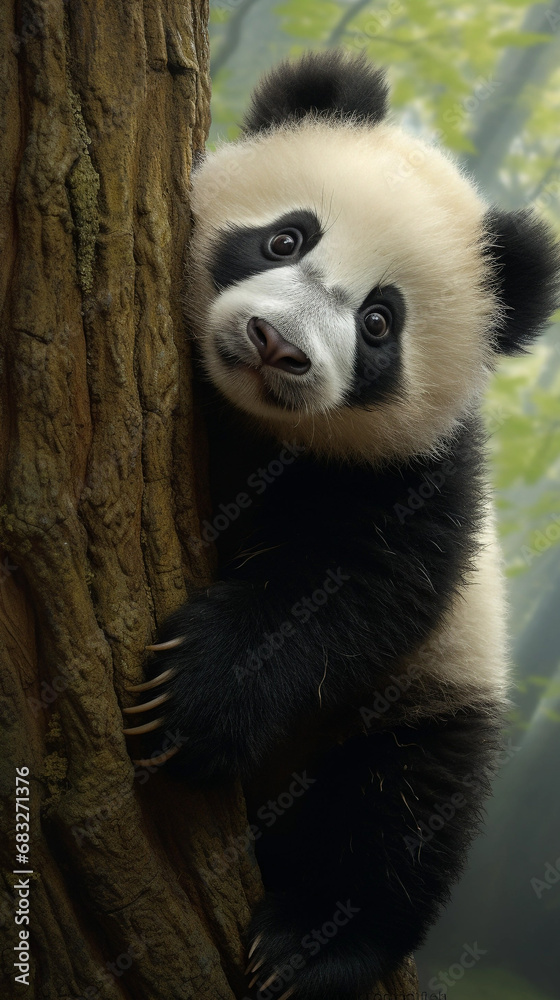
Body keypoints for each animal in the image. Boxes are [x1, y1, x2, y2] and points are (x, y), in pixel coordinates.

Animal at [124, 51, 560, 1000]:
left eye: (378, 321)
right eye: (288, 239)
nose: (274, 343)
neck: (254, 426)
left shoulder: (419, 479)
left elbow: (361, 593)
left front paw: (196, 695)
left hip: (431, 692)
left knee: (402, 805)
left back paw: (311, 942)